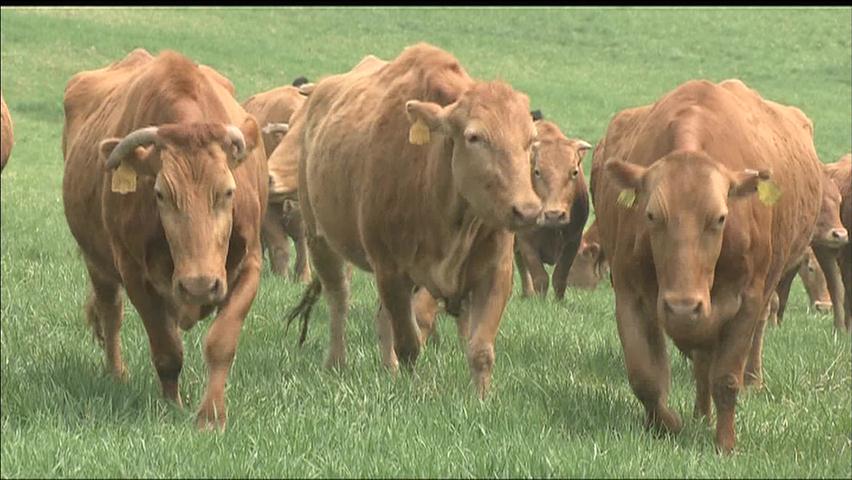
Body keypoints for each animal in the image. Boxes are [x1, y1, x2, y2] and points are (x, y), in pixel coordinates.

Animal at [62, 49, 268, 432]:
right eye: (160, 194)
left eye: (228, 191)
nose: (199, 285)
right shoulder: (135, 276)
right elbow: (166, 349)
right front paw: (172, 406)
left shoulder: (249, 266)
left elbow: (221, 343)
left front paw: (211, 415)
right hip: (98, 264)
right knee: (111, 313)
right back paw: (117, 373)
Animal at [282, 44, 544, 398]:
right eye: (475, 137)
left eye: (531, 140)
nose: (527, 210)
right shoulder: (391, 270)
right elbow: (409, 343)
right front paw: (413, 390)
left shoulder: (495, 274)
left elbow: (480, 349)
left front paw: (481, 399)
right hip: (320, 240)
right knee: (339, 299)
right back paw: (336, 362)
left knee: (380, 316)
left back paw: (387, 369)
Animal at [512, 115, 592, 300]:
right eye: (537, 171)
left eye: (574, 172)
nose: (554, 215)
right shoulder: (526, 240)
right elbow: (539, 276)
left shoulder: (573, 240)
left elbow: (560, 276)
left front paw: (558, 301)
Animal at [588, 77, 824, 452]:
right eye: (651, 215)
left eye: (720, 218)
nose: (683, 306)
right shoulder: (629, 294)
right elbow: (645, 377)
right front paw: (667, 423)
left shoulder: (746, 301)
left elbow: (726, 379)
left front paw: (725, 444)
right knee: (700, 361)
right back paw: (700, 414)